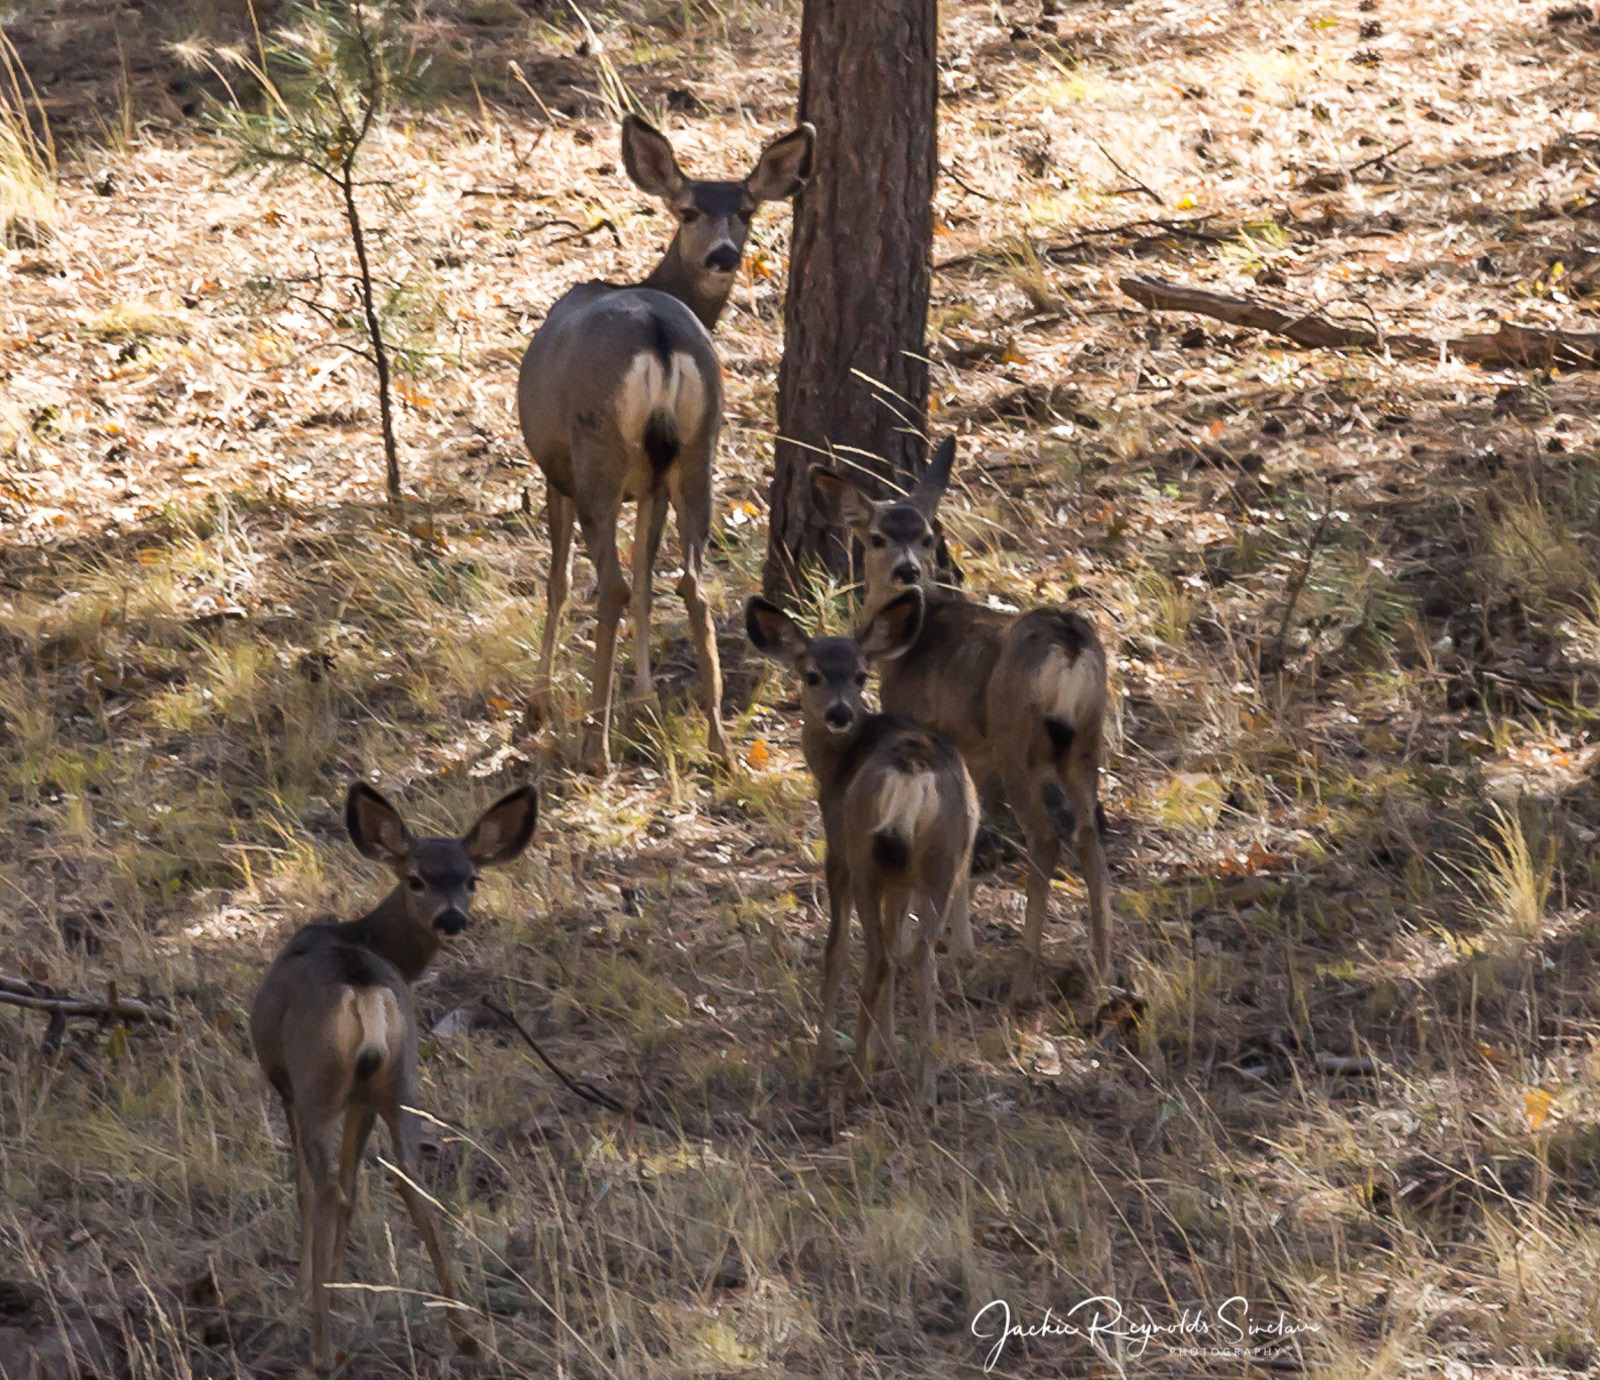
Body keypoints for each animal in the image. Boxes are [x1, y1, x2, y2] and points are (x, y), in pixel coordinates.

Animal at [250, 781, 538, 1374]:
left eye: (471, 880)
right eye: (417, 878)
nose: (452, 919)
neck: (369, 939)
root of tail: (363, 986)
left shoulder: (285, 1084)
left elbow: (308, 1188)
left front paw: (305, 1293)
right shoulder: (366, 1096)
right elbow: (359, 1182)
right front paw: (335, 1287)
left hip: (317, 1082)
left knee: (326, 1188)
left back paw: (320, 1350)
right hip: (400, 1079)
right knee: (412, 1185)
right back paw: (465, 1336)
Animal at [517, 114, 815, 772]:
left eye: (747, 210)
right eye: (689, 210)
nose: (724, 254)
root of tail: (659, 334)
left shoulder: (556, 473)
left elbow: (560, 583)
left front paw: (540, 704)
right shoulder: (651, 480)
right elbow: (649, 576)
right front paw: (646, 694)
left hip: (598, 456)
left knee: (610, 585)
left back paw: (596, 744)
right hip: (699, 448)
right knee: (691, 584)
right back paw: (719, 743)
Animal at [746, 587, 978, 1104]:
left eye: (860, 675)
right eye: (811, 674)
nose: (839, 713)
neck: (835, 764)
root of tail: (914, 772)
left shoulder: (838, 848)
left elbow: (835, 949)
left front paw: (829, 1055)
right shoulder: (900, 875)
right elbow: (898, 937)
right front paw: (887, 1049)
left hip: (865, 853)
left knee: (877, 956)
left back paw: (851, 1078)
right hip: (940, 856)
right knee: (919, 955)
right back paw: (925, 1088)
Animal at [809, 437, 1113, 1000]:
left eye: (927, 538)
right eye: (879, 537)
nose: (908, 570)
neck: (909, 643)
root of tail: (1071, 645)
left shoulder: (926, 725)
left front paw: (925, 943)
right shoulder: (974, 751)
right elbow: (968, 842)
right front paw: (961, 946)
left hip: (1019, 738)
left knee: (1045, 835)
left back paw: (1023, 981)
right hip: (1086, 740)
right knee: (1088, 835)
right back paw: (1102, 971)